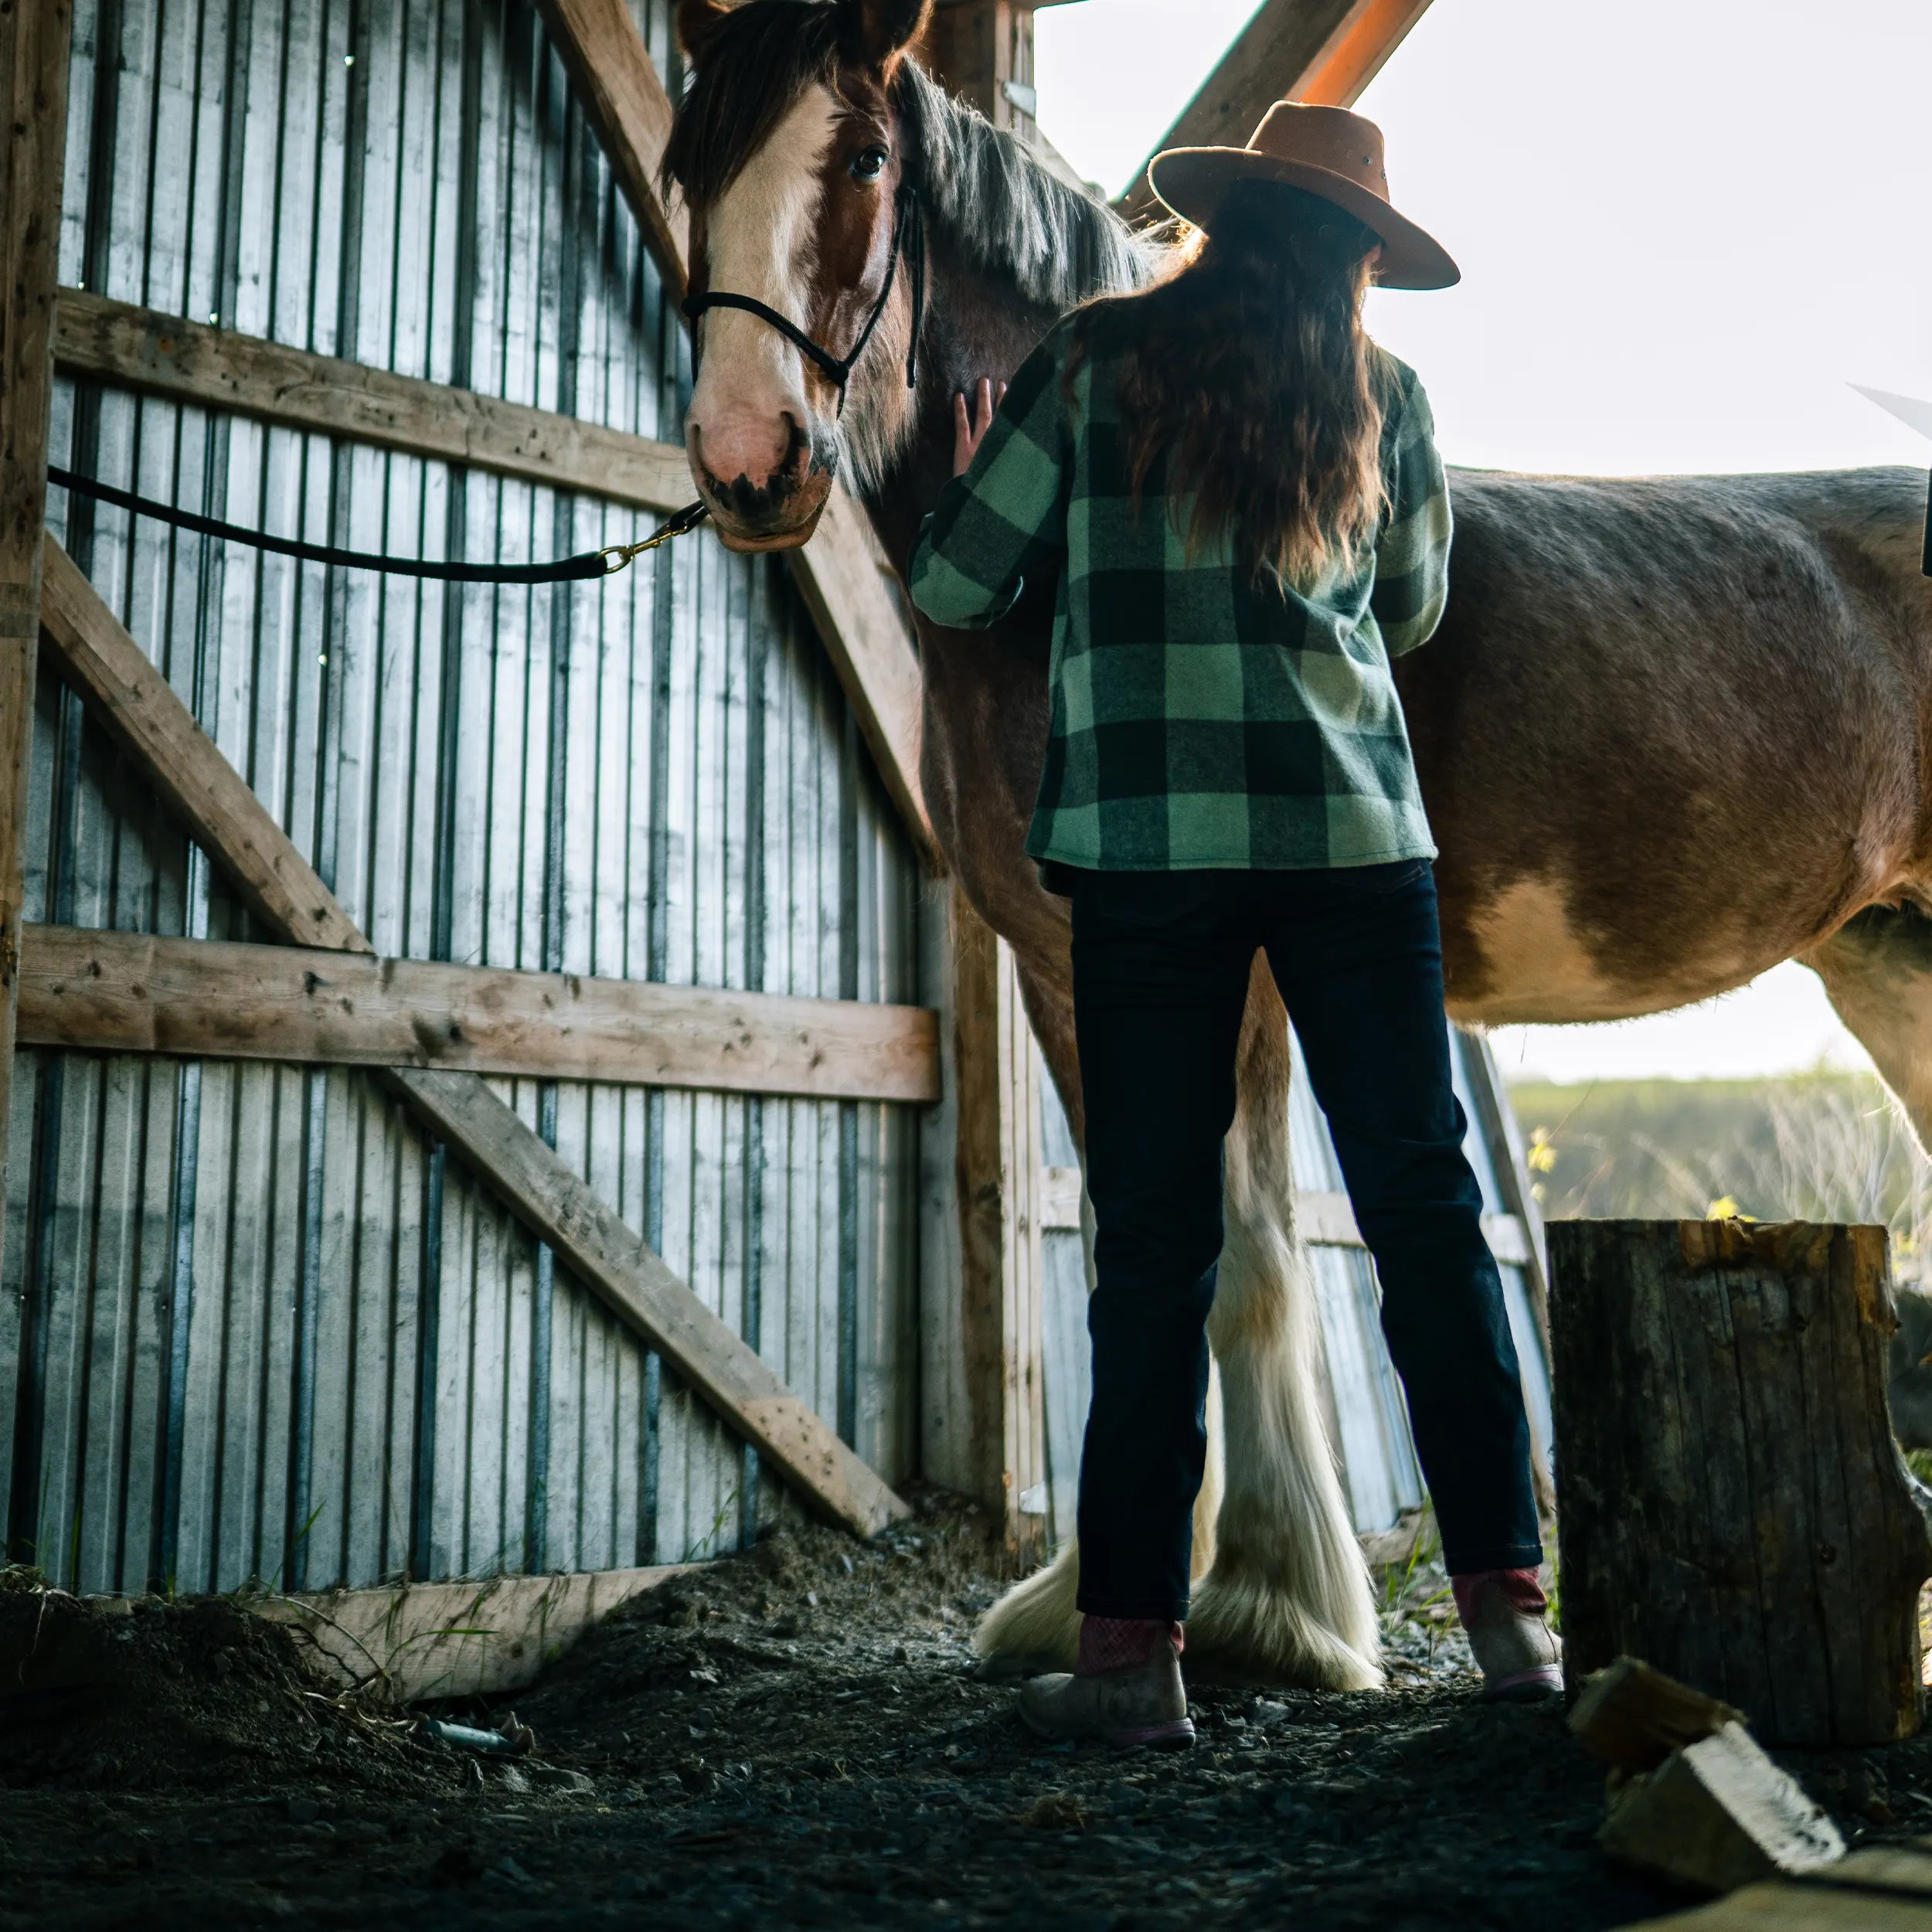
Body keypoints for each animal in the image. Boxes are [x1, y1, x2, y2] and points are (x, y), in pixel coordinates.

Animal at [665, 0, 1932, 1692]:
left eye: (861, 158)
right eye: (691, 164)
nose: (750, 458)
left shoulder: (1225, 961)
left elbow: (1244, 1249)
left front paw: (1268, 1608)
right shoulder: (1075, 960)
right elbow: (1144, 1247)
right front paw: (1097, 1595)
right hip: (1896, 966)